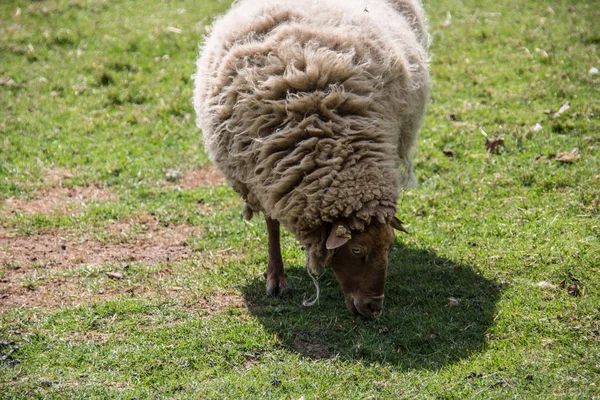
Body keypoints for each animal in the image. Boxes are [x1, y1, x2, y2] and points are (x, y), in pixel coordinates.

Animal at [195, 0, 428, 318]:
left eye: (388, 246)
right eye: (356, 249)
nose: (373, 309)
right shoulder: (264, 177)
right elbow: (271, 226)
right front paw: (276, 278)